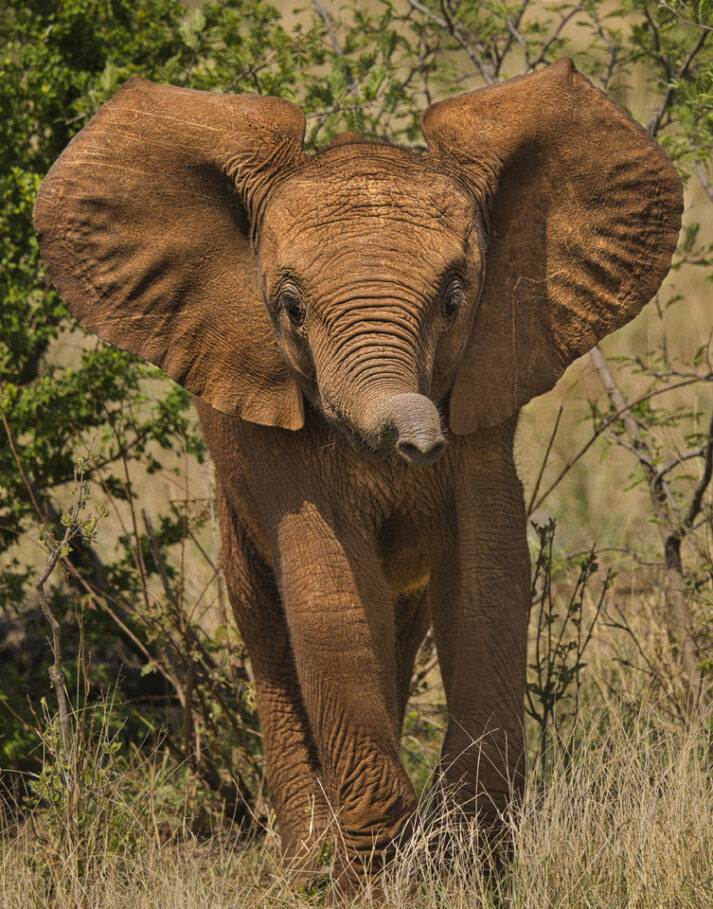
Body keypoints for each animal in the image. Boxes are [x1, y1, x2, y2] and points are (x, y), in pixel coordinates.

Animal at [34, 56, 684, 880]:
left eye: (454, 301)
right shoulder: (271, 411)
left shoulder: (485, 392)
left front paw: (463, 864)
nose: (418, 441)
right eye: (289, 308)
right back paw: (306, 863)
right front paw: (372, 873)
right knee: (269, 619)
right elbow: (329, 585)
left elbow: (486, 575)